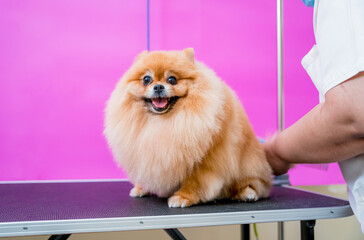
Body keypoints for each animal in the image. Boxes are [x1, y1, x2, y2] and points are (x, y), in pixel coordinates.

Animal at [104, 47, 272, 207]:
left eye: (172, 79)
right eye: (146, 79)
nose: (158, 87)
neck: (162, 121)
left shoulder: (204, 161)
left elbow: (195, 182)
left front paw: (182, 197)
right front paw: (141, 188)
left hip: (250, 165)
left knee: (257, 184)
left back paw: (247, 192)